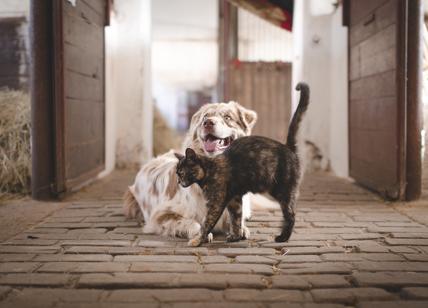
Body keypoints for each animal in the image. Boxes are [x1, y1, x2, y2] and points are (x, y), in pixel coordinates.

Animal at [123, 101, 258, 238]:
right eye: (205, 116)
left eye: (227, 117)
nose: (208, 123)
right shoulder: (160, 215)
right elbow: (192, 223)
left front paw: (240, 229)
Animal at [175, 83, 310, 247]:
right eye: (177, 173)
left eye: (182, 172)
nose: (178, 181)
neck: (209, 169)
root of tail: (287, 147)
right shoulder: (234, 199)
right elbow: (236, 218)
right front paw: (235, 236)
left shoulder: (216, 203)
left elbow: (206, 223)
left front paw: (197, 240)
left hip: (282, 191)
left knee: (291, 215)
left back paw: (282, 237)